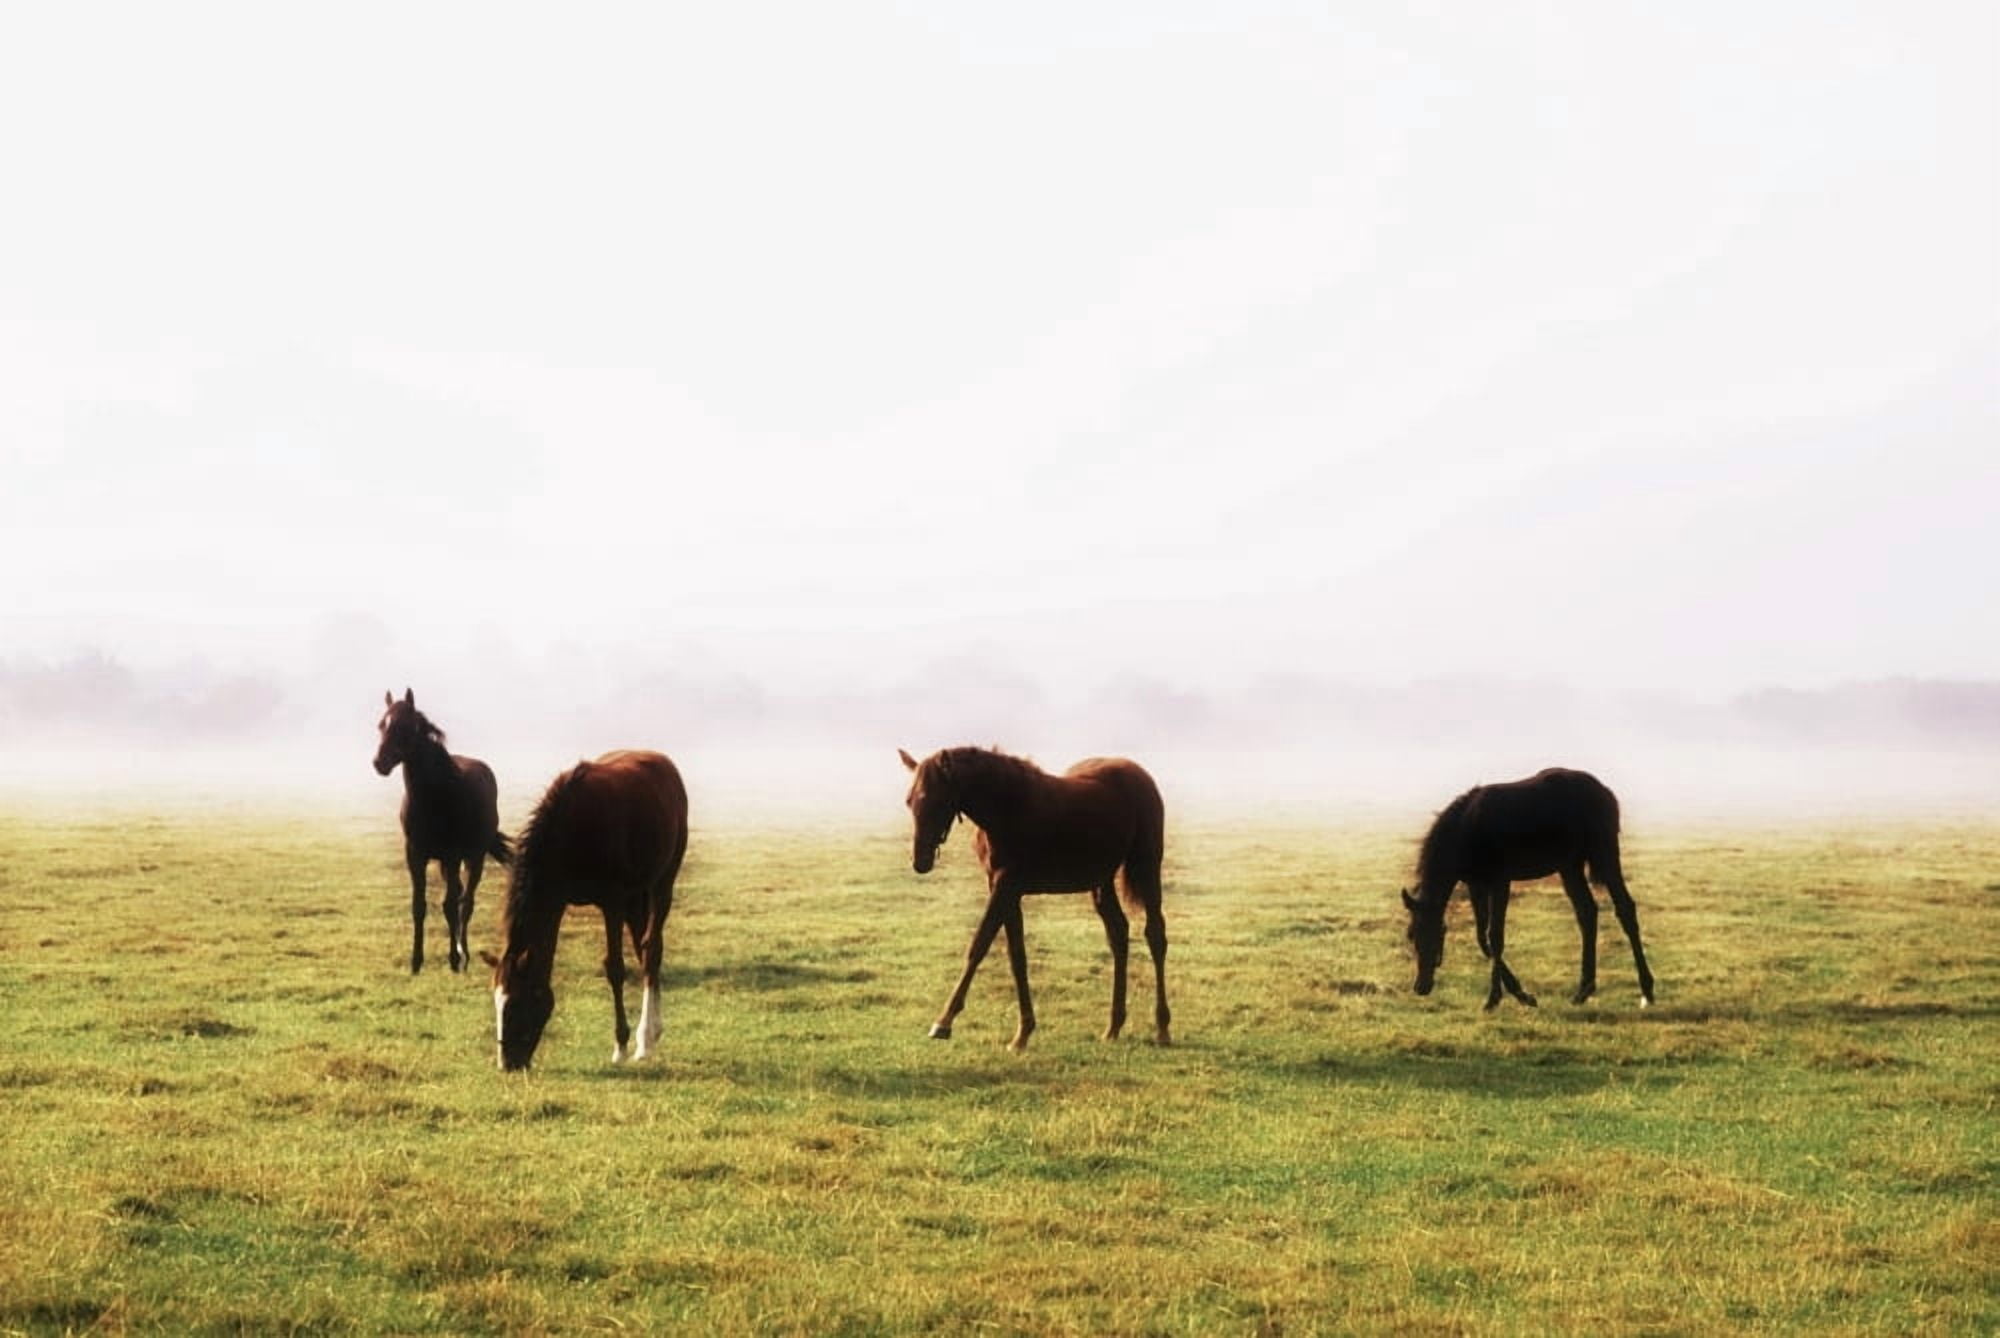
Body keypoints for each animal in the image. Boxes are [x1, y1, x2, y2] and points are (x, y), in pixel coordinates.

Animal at [372, 688, 511, 974]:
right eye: (382, 724)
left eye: (406, 725)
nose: (379, 763)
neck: (435, 797)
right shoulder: (415, 855)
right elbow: (419, 906)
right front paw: (415, 962)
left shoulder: (453, 854)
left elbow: (449, 905)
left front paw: (454, 960)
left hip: (474, 858)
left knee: (465, 902)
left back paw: (464, 953)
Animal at [485, 749, 688, 1071]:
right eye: (497, 1003)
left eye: (516, 1004)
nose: (508, 1063)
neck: (572, 832)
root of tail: (663, 762)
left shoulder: (613, 902)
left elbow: (615, 968)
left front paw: (620, 1045)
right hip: (637, 896)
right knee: (645, 950)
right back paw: (652, 1032)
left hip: (662, 882)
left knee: (652, 948)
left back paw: (645, 1038)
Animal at [898, 745, 1170, 1051]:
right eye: (909, 801)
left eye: (940, 801)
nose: (920, 861)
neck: (1007, 808)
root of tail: (1139, 773)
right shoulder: (1004, 889)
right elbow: (1017, 954)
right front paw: (1023, 1033)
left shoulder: (1005, 886)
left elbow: (979, 945)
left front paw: (943, 1022)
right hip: (1101, 881)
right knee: (1118, 934)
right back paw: (1113, 1027)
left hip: (1147, 865)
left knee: (1155, 935)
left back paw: (1162, 1028)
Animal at [1401, 766, 1655, 1010]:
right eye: (1411, 935)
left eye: (1437, 934)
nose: (1421, 986)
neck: (1466, 828)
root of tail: (1605, 792)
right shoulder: (1476, 884)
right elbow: (1482, 937)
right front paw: (1519, 995)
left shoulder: (1500, 882)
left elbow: (1495, 936)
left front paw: (1499, 998)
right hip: (1569, 866)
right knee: (1587, 913)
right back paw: (1583, 990)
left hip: (1604, 853)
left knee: (1625, 909)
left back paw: (1647, 989)